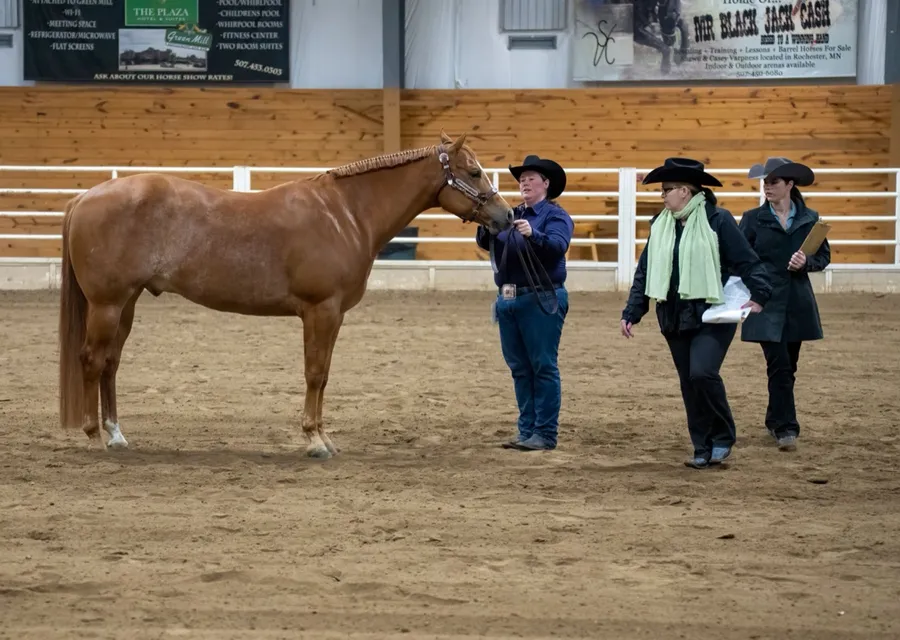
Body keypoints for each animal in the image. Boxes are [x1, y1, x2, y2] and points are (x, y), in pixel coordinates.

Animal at [58, 131, 514, 459]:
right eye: (473, 172)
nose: (507, 216)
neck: (345, 214)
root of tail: (84, 197)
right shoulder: (320, 311)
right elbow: (314, 373)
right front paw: (313, 441)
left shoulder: (334, 315)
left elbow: (324, 374)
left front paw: (324, 438)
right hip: (107, 304)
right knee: (92, 360)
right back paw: (94, 437)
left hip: (127, 303)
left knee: (110, 364)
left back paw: (117, 435)